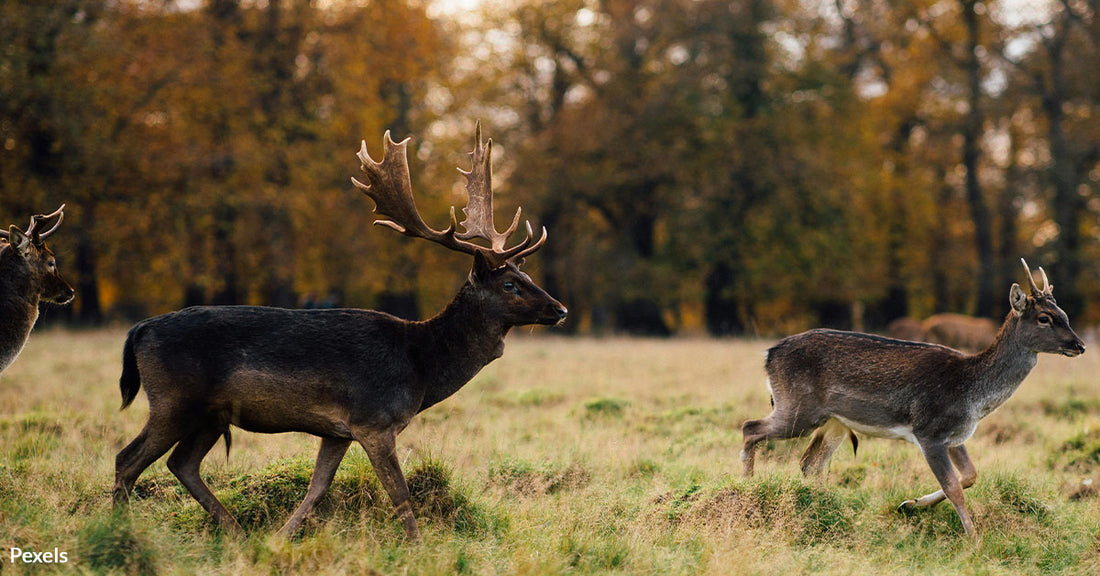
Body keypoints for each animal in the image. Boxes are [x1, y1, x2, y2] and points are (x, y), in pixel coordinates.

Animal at [111, 123, 567, 543]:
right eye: (509, 285)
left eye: (526, 276)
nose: (560, 309)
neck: (420, 367)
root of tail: (139, 330)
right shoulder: (374, 420)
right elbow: (400, 494)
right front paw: (417, 548)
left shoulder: (336, 431)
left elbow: (318, 488)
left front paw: (281, 538)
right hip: (173, 399)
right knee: (127, 460)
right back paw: (120, 529)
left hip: (211, 412)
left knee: (181, 463)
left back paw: (236, 530)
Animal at [739, 258, 1082, 538]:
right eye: (1044, 318)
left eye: (1064, 314)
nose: (1079, 345)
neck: (972, 394)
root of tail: (769, 355)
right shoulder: (929, 430)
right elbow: (954, 487)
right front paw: (975, 541)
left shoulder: (955, 435)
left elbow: (971, 475)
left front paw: (910, 504)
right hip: (798, 407)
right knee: (750, 427)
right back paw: (749, 488)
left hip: (833, 421)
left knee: (809, 462)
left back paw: (825, 506)